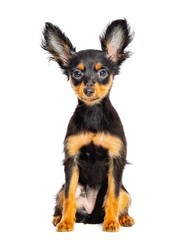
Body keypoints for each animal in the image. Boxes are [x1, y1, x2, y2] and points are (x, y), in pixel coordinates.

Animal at [42, 19, 134, 232]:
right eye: (77, 73)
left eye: (103, 72)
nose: (89, 90)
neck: (93, 113)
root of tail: (91, 214)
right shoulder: (72, 160)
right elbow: (69, 197)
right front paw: (66, 223)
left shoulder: (116, 161)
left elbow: (113, 197)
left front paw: (111, 223)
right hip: (62, 188)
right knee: (63, 199)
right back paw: (58, 218)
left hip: (126, 192)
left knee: (120, 199)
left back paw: (123, 218)